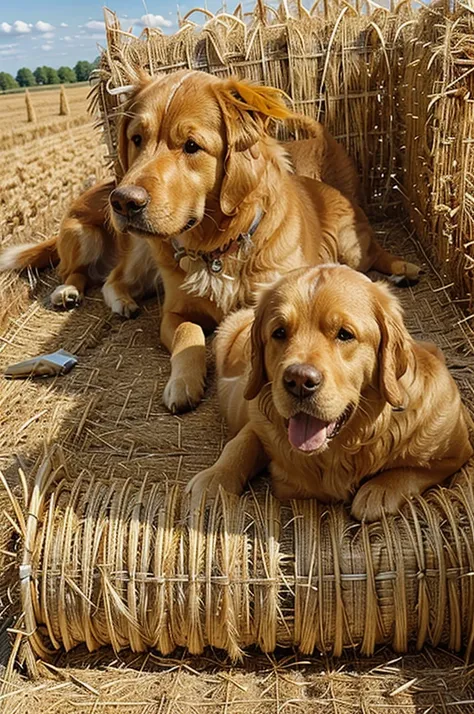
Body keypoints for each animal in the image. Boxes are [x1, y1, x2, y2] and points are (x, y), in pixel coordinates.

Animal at [2, 69, 418, 414]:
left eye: (191, 146)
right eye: (136, 139)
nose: (122, 201)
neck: (216, 248)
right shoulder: (173, 314)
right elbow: (189, 335)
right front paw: (183, 382)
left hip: (351, 247)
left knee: (376, 254)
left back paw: (403, 268)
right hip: (98, 238)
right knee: (94, 275)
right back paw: (84, 295)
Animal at [185, 264, 470, 520]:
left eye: (344, 334)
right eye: (279, 332)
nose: (299, 381)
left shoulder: (457, 448)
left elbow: (417, 469)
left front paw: (379, 490)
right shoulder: (257, 421)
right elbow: (241, 444)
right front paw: (214, 478)